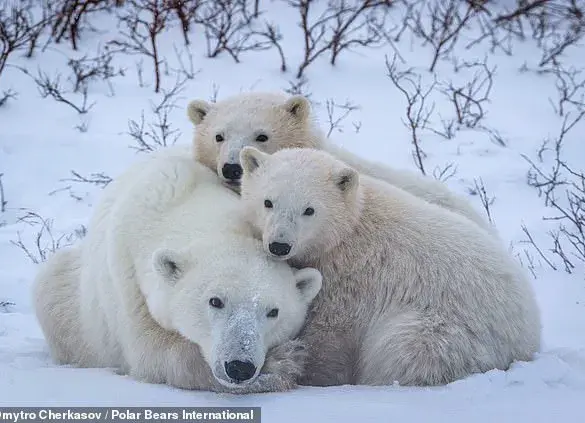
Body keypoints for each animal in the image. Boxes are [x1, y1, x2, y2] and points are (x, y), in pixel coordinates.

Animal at [32, 146, 322, 394]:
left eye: (273, 311)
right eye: (215, 301)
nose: (239, 367)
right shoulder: (129, 280)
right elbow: (153, 353)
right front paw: (285, 360)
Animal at [236, 147, 540, 390]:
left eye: (309, 210)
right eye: (268, 202)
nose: (280, 245)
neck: (348, 230)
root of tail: (529, 336)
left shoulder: (351, 278)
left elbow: (328, 334)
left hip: (446, 331)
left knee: (403, 350)